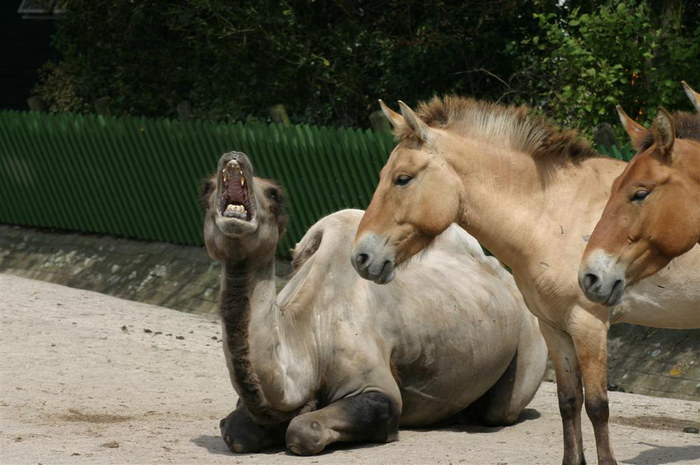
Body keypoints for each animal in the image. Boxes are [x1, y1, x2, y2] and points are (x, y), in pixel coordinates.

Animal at [200, 151, 548, 454]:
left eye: (274, 194)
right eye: (206, 188)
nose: (234, 157)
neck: (307, 336)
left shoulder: (377, 388)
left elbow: (304, 429)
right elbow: (233, 430)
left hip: (531, 340)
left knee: (500, 410)